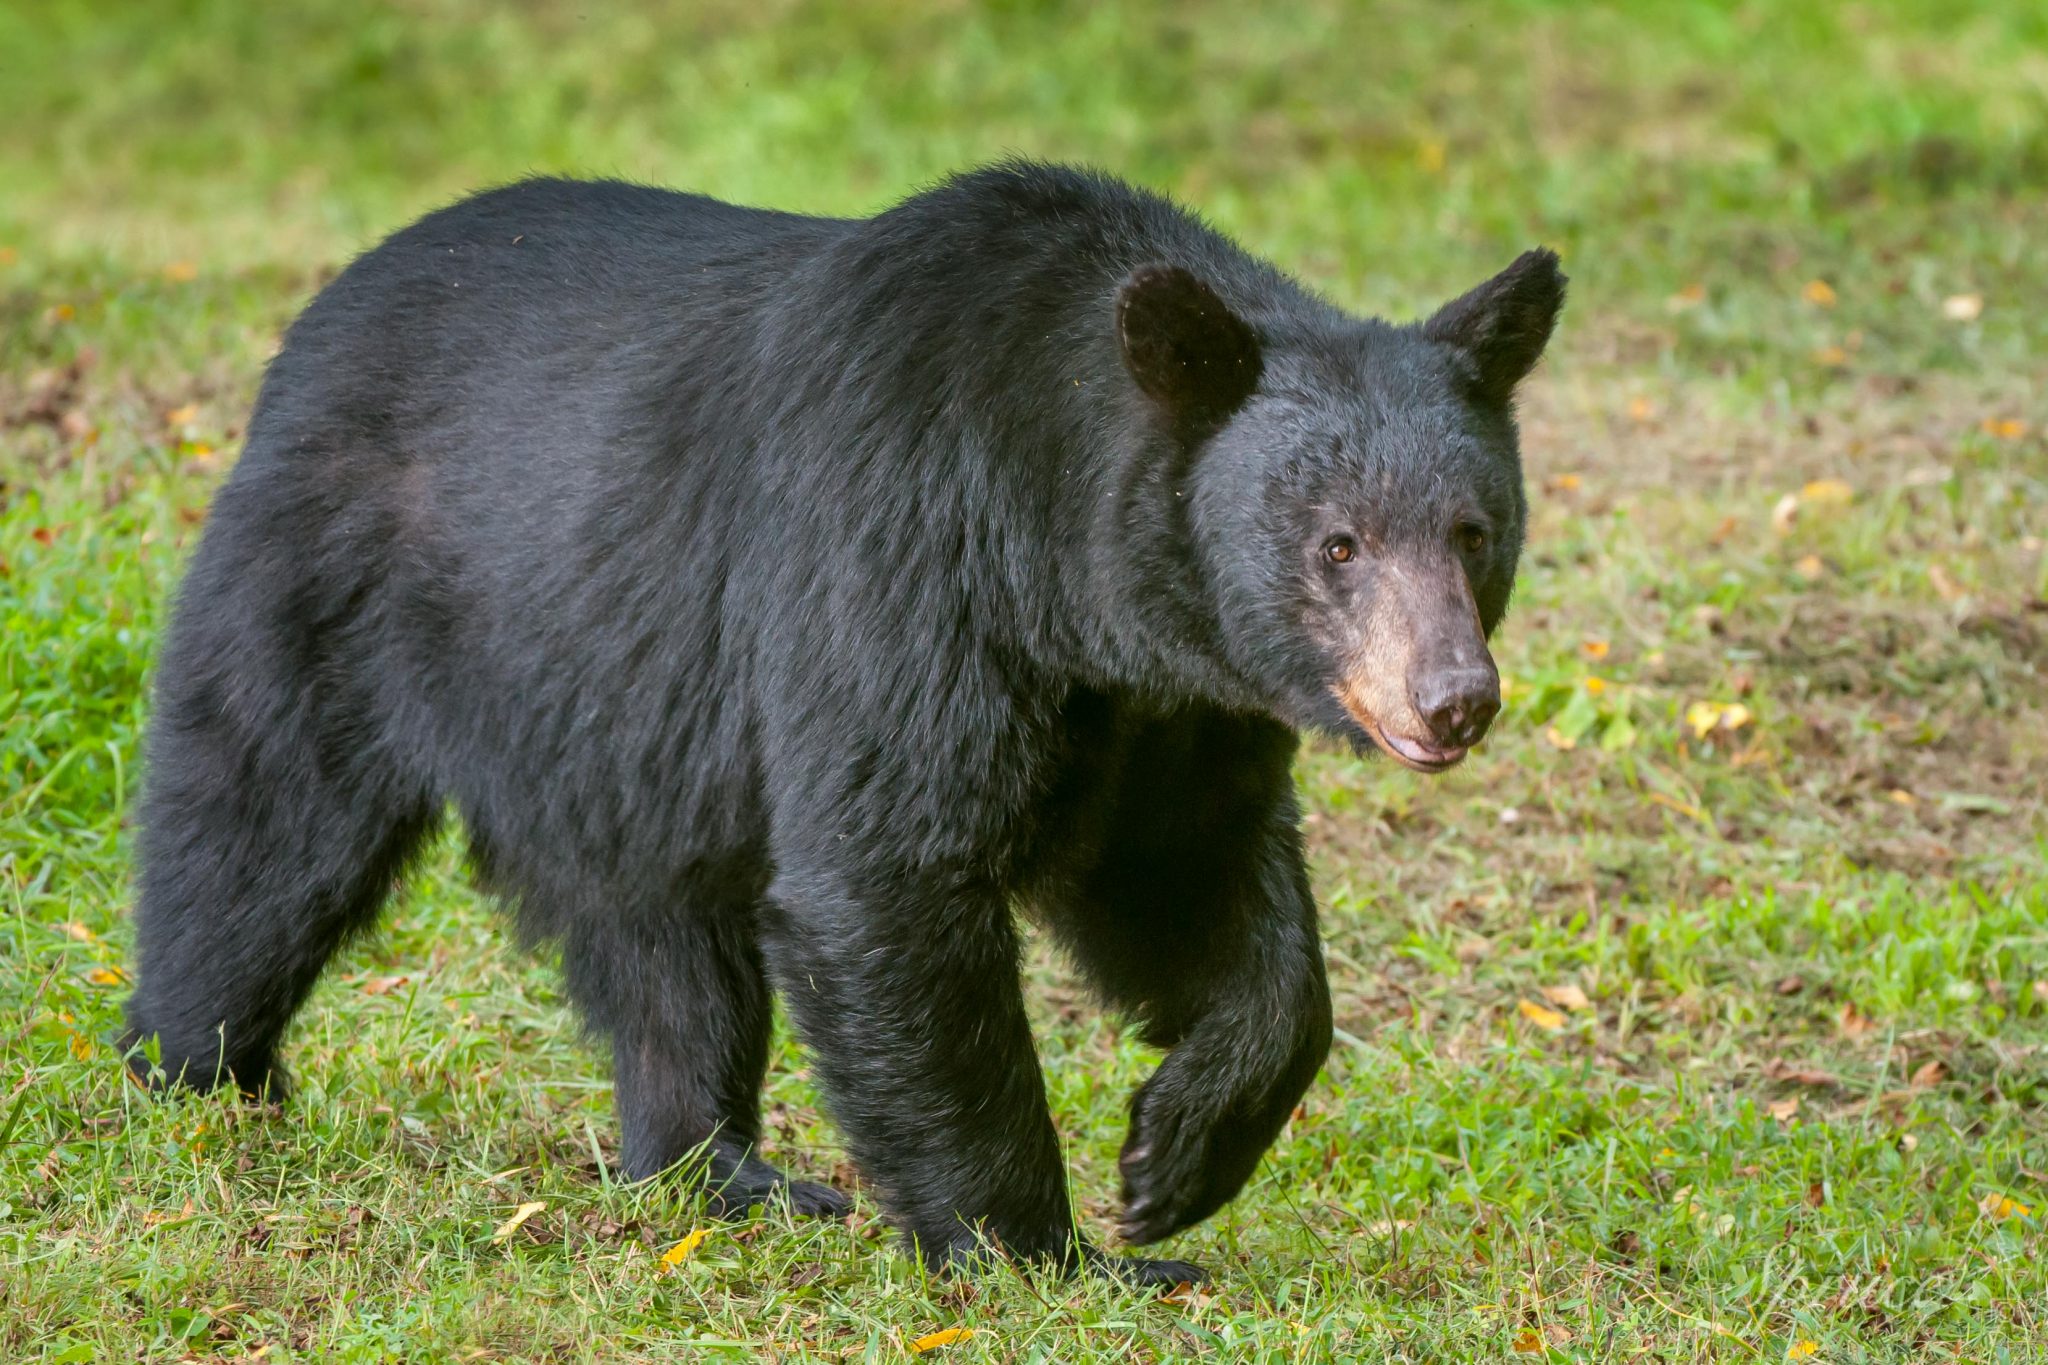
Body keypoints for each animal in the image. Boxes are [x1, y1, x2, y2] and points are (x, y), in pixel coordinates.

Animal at [128, 160, 1556, 1285]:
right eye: (1337, 545)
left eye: (1472, 532)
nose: (1452, 699)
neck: (1063, 567)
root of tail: (319, 314)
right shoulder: (899, 560)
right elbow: (890, 872)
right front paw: (1044, 1251)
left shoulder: (1162, 700)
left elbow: (1189, 877)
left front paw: (1173, 1157)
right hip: (351, 591)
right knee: (257, 828)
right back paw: (199, 1076)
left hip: (617, 732)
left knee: (667, 954)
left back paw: (721, 1172)